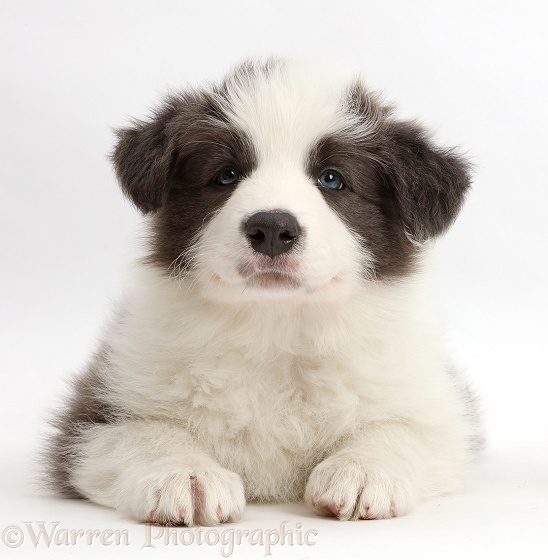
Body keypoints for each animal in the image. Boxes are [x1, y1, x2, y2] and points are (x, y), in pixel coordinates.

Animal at [48, 58, 484, 524]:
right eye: (226, 175)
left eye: (332, 179)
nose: (273, 228)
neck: (275, 327)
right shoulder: (94, 416)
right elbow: (147, 432)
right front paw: (186, 475)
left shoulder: (439, 411)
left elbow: (401, 430)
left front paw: (362, 470)